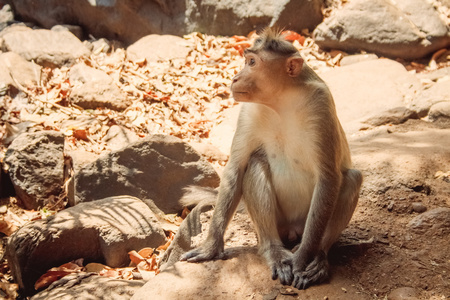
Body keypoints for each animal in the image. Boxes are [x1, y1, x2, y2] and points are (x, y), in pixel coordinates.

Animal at [179, 28, 362, 290]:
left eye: (252, 62)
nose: (235, 78)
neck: (281, 101)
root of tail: (293, 231)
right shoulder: (248, 111)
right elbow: (236, 168)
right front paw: (211, 247)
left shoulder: (321, 104)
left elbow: (328, 177)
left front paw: (302, 259)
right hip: (279, 224)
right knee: (255, 164)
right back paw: (273, 250)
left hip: (304, 224)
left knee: (351, 179)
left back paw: (318, 258)